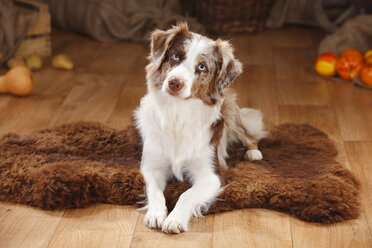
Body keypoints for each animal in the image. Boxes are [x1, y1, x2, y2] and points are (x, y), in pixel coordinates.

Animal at [134, 22, 268, 233]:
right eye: (176, 56)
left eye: (202, 66)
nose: (174, 83)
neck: (178, 113)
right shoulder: (151, 168)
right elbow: (155, 191)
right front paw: (156, 213)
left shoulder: (212, 175)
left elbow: (186, 194)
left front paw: (175, 219)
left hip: (230, 109)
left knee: (246, 134)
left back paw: (253, 152)